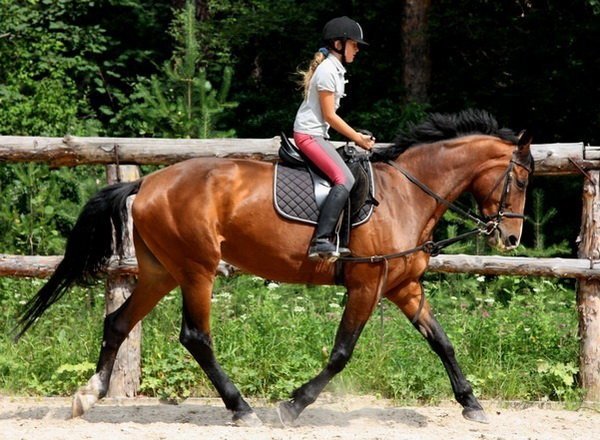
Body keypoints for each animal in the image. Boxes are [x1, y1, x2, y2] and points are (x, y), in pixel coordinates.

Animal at [14, 109, 532, 426]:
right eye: (523, 179)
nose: (509, 238)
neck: (408, 193)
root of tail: (147, 182)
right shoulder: (367, 283)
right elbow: (342, 353)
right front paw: (293, 405)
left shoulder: (404, 285)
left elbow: (442, 341)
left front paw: (472, 404)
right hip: (196, 269)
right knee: (195, 337)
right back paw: (242, 408)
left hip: (161, 271)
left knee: (118, 322)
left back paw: (89, 394)